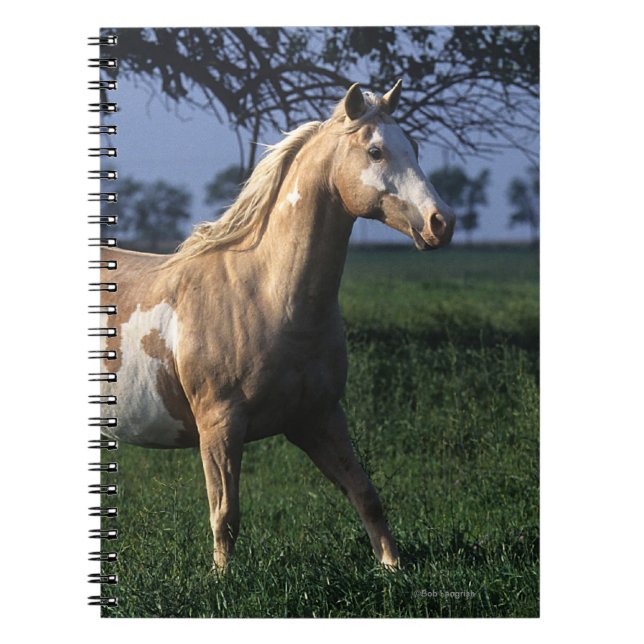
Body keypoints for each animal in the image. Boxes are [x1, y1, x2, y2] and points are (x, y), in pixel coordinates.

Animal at [100, 81, 456, 570]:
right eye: (376, 151)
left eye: (415, 147)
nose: (442, 223)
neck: (266, 297)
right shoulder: (220, 426)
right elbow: (225, 514)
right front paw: (222, 580)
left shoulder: (319, 418)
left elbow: (366, 495)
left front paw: (393, 568)